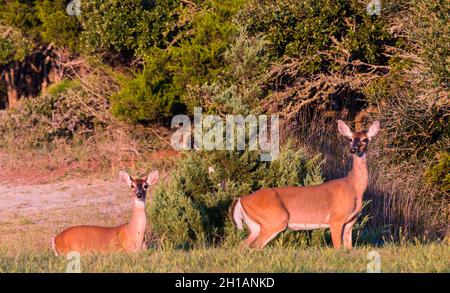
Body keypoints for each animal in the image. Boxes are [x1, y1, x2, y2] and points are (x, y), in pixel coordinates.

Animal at [230, 118, 382, 249]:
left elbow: (348, 248)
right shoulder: (336, 219)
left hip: (255, 225)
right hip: (274, 220)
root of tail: (241, 199)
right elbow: (338, 248)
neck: (353, 188)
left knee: (242, 246)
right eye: (350, 139)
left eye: (365, 139)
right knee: (256, 247)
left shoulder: (350, 222)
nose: (353, 149)